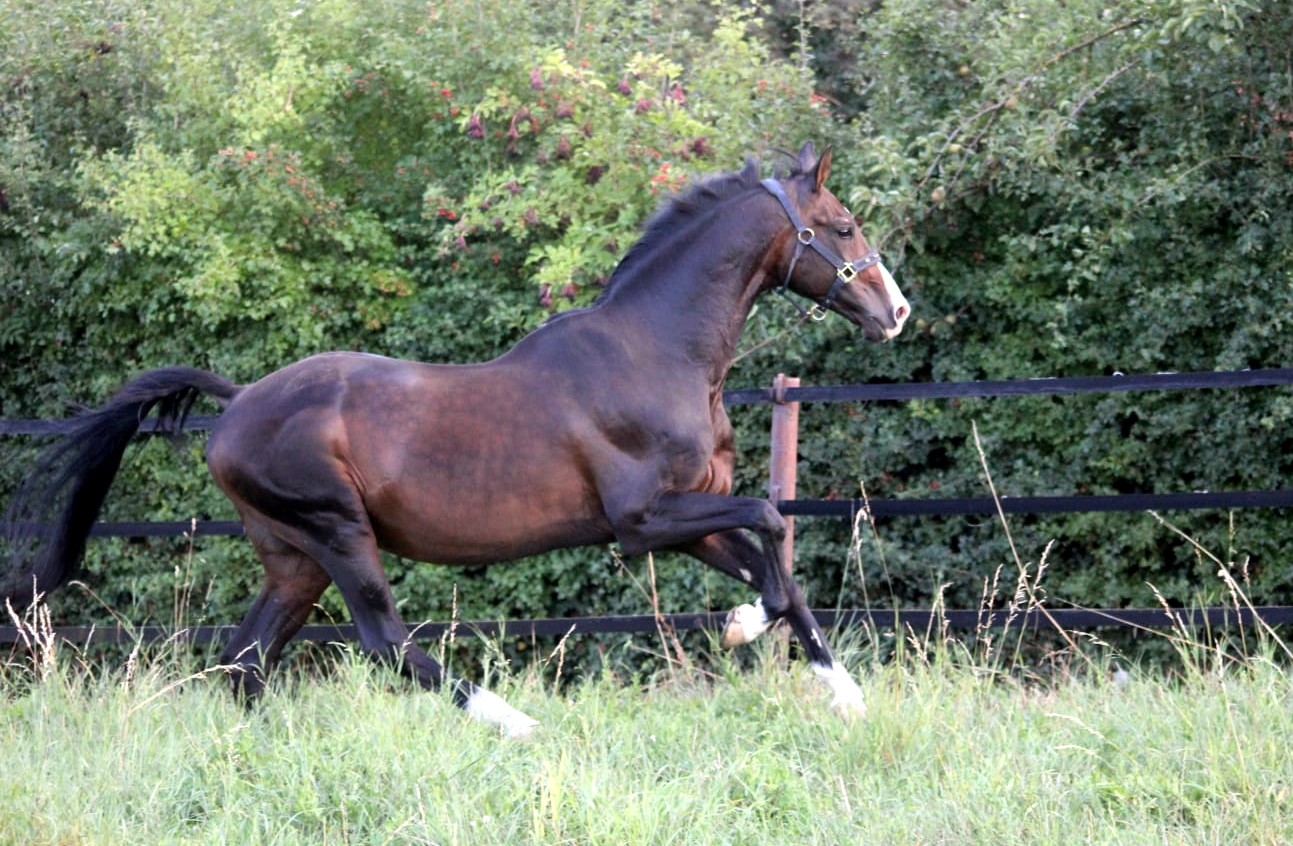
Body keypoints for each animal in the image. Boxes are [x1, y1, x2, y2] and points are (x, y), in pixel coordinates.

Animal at [2, 144, 910, 734]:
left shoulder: (689, 517)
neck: (656, 351)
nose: (895, 311)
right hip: (337, 532)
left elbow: (775, 565)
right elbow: (771, 521)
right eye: (843, 225)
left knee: (244, 663)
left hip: (293, 557)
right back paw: (520, 726)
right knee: (385, 644)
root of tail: (237, 403)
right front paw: (742, 628)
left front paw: (841, 693)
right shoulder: (641, 522)